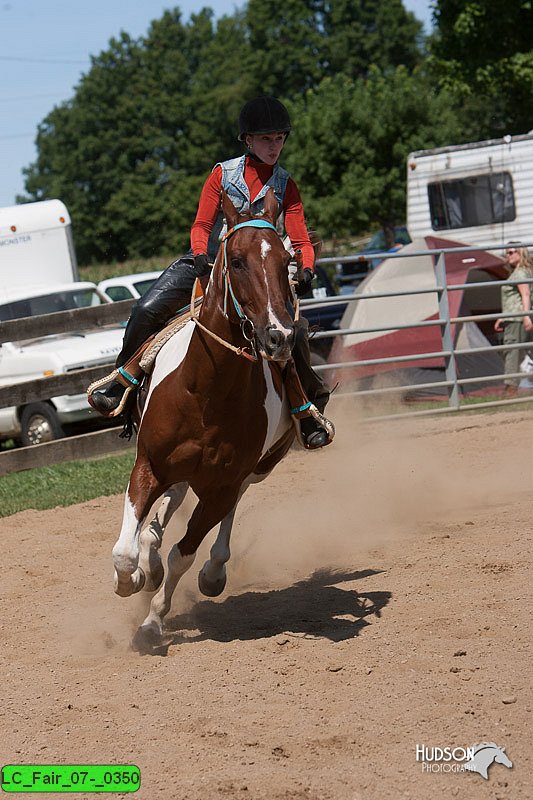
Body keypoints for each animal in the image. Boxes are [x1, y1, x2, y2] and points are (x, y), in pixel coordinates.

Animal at [111, 188, 298, 644]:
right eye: (238, 261)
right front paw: (134, 579)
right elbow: (124, 552)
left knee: (228, 511)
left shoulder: (223, 484)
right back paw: (150, 556)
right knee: (166, 510)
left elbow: (184, 554)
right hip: (178, 471)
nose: (279, 336)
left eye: (287, 261)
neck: (205, 393)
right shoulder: (148, 465)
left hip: (253, 470)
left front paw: (153, 622)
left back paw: (212, 571)